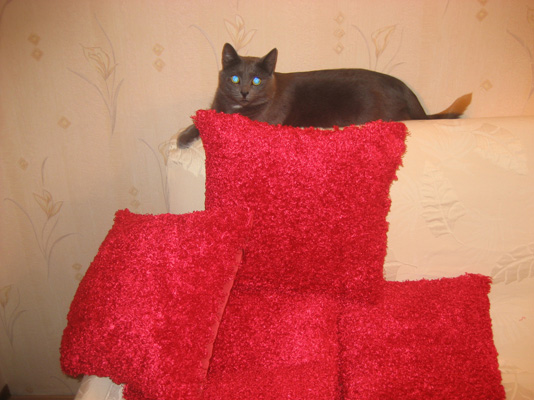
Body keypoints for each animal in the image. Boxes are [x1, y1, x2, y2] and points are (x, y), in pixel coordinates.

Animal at [178, 43, 472, 147]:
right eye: (235, 78)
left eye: (257, 80)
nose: (244, 92)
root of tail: (404, 87)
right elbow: (203, 117)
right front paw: (183, 137)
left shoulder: (261, 120)